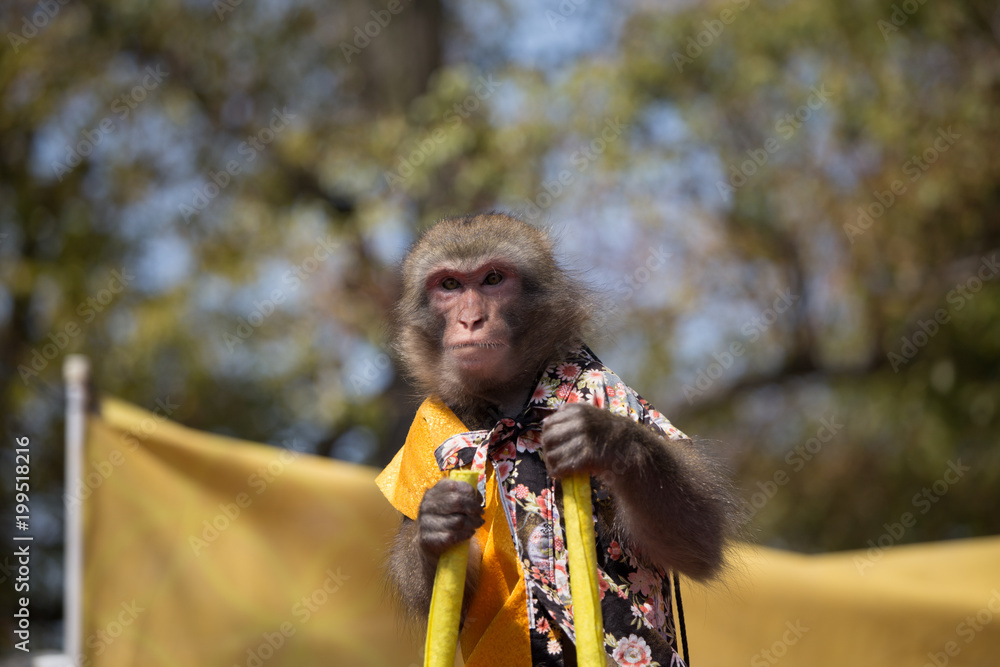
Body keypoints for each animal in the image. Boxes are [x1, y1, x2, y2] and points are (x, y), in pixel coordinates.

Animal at [378, 211, 737, 666]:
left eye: (493, 279)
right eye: (450, 285)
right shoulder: (428, 434)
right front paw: (436, 521)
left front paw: (606, 438)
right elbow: (443, 605)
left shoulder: (610, 387)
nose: (471, 320)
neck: (511, 410)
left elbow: (699, 542)